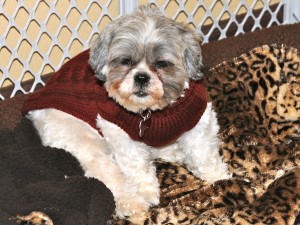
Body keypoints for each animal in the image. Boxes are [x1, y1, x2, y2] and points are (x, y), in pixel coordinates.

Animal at [25, 4, 230, 221]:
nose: (141, 77)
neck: (152, 112)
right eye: (125, 61)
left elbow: (203, 153)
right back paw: (132, 202)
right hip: (80, 138)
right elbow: (137, 167)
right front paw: (147, 192)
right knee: (108, 175)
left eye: (161, 64)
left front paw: (218, 176)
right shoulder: (119, 132)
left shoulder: (198, 118)